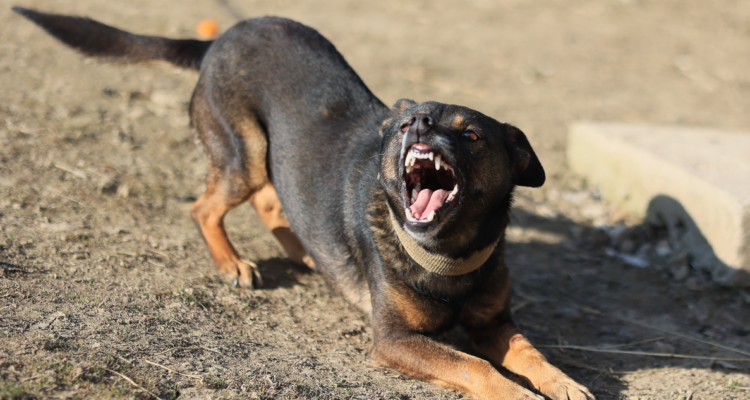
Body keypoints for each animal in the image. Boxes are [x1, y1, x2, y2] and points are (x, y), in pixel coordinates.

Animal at [14, 7, 596, 400]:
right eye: (407, 125)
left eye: (471, 134)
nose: (419, 122)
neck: (447, 255)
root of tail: (220, 38)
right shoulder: (394, 339)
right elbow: (476, 367)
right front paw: (519, 393)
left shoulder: (495, 323)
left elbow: (532, 353)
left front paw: (565, 384)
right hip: (245, 154)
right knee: (206, 207)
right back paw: (233, 263)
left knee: (275, 204)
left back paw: (307, 255)